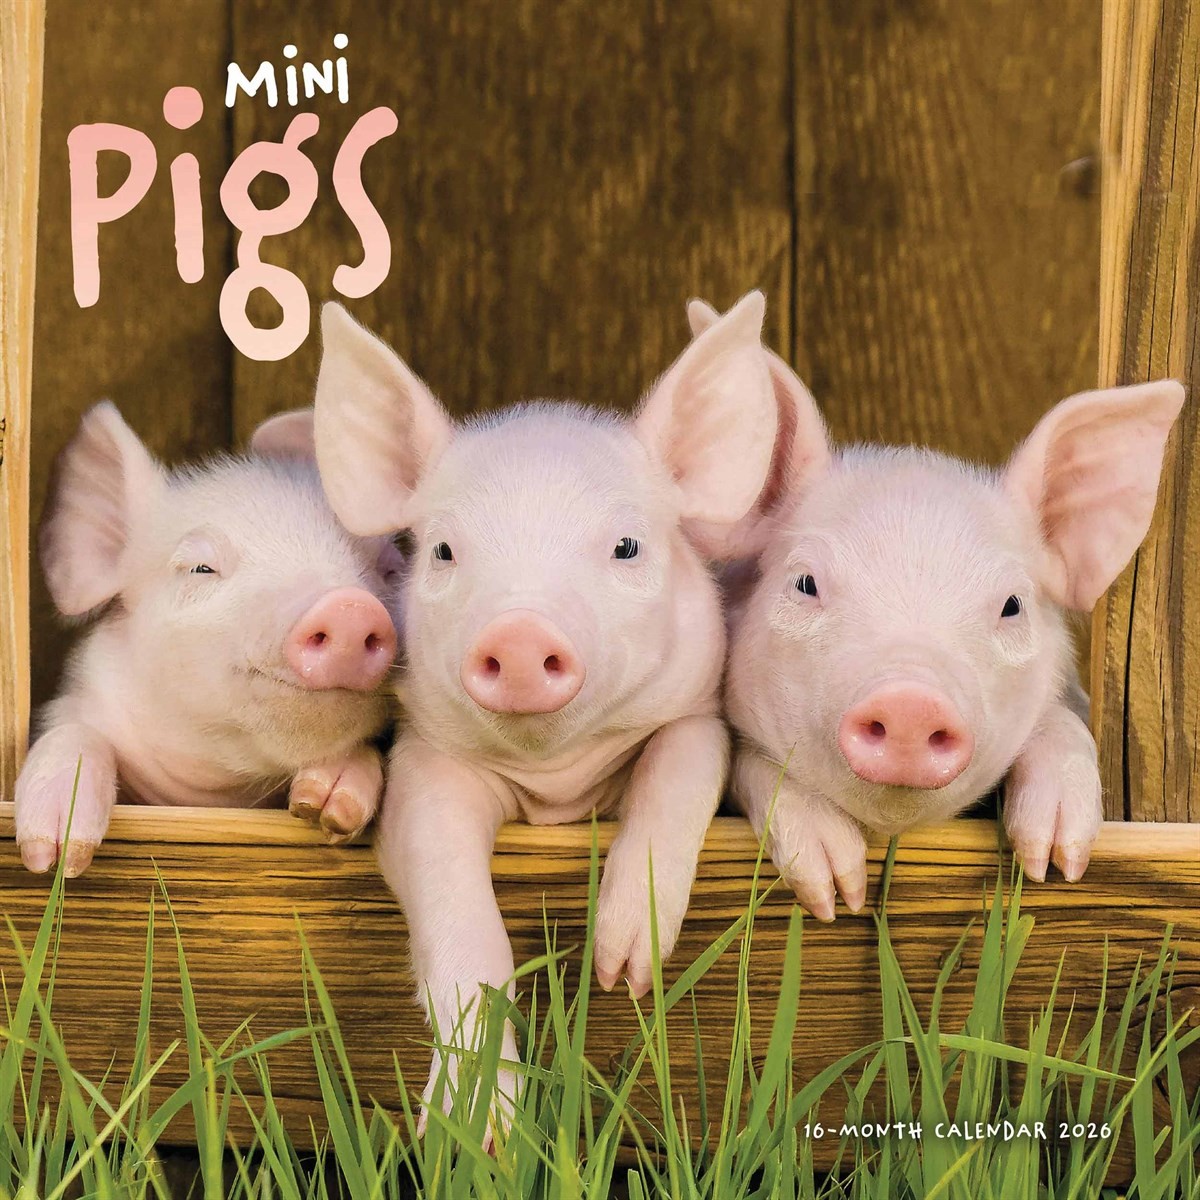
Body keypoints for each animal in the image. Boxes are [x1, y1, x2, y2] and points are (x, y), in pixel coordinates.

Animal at [14, 402, 403, 877]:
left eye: (390, 569)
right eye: (201, 568)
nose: (348, 606)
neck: (220, 792)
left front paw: (324, 806)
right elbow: (73, 733)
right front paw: (55, 857)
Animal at [312, 295, 778, 1124]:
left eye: (626, 547)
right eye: (444, 552)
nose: (521, 634)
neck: (555, 782)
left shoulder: (695, 716)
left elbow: (678, 774)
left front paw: (623, 970)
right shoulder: (428, 762)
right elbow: (452, 898)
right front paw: (470, 1129)